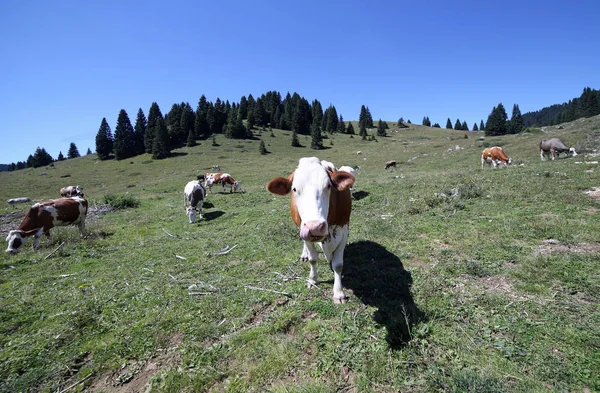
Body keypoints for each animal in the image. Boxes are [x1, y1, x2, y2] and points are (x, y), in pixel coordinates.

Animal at [264, 157, 354, 304]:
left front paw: (338, 293)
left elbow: (338, 265)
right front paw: (312, 279)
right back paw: (304, 254)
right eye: (294, 189)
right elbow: (313, 259)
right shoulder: (304, 231)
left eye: (328, 186)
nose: (315, 227)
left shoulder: (344, 230)